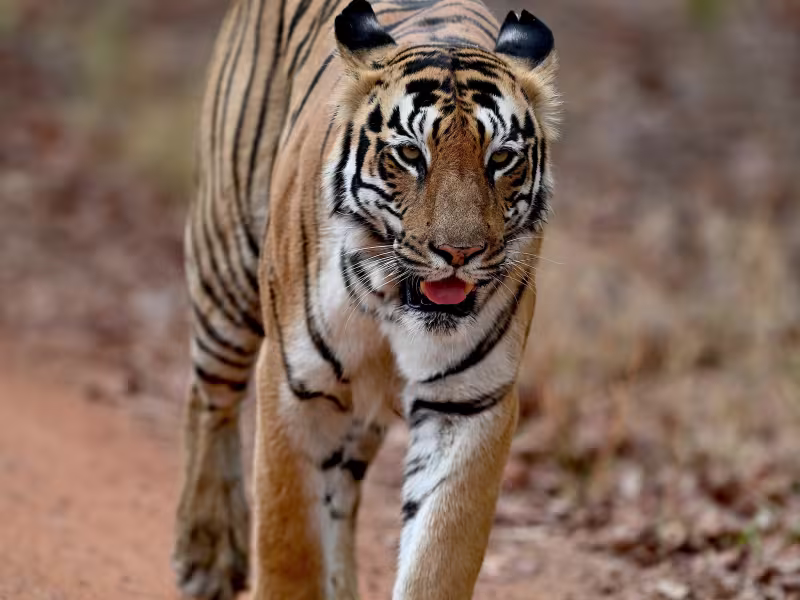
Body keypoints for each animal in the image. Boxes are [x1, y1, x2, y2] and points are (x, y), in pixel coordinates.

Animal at [172, 0, 559, 597]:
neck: (392, 300)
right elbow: (289, 547)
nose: (460, 252)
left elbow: (438, 557)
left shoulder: (467, 404)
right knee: (209, 395)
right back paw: (206, 554)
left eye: (501, 159)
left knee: (341, 492)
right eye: (410, 155)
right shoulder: (295, 385)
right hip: (227, 257)